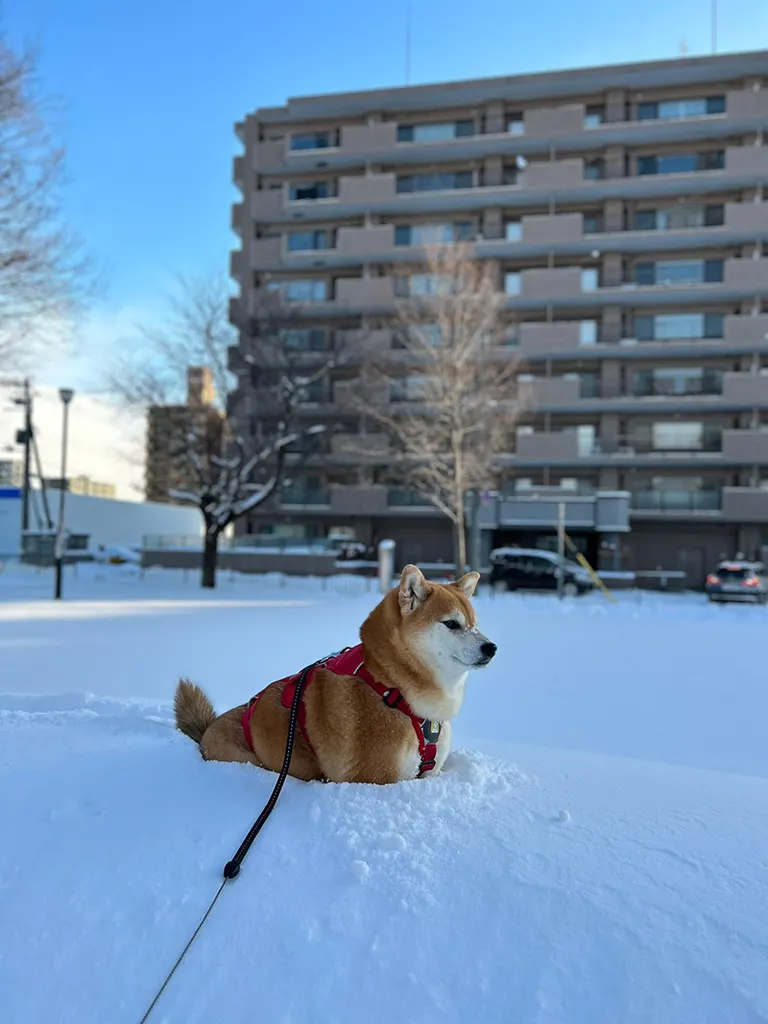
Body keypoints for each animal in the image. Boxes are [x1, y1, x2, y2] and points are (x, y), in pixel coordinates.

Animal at [174, 569, 499, 782]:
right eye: (451, 624)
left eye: (475, 624)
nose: (492, 647)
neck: (391, 686)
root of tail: (207, 731)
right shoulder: (377, 777)